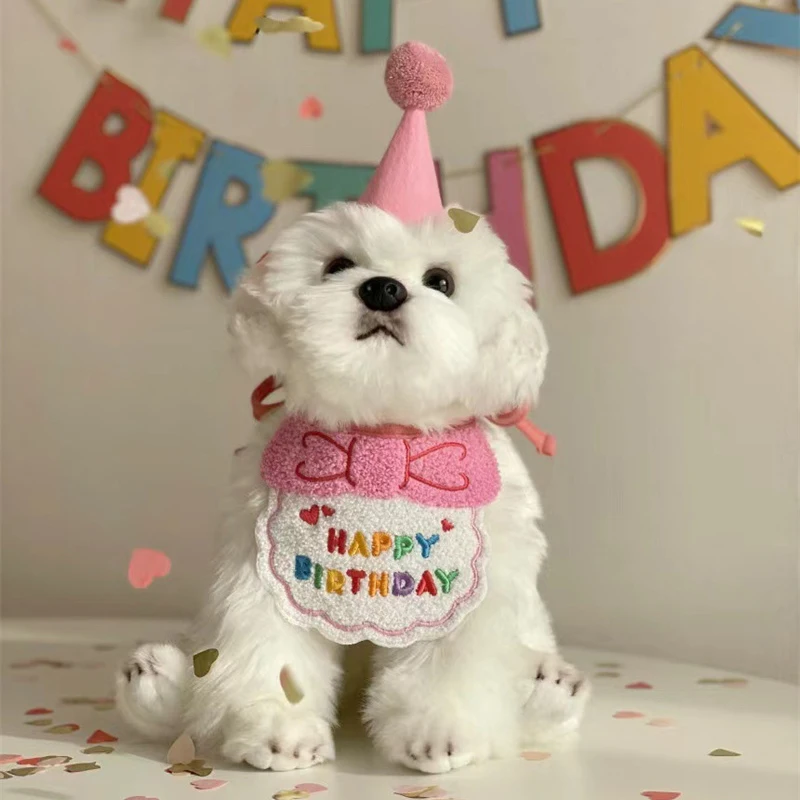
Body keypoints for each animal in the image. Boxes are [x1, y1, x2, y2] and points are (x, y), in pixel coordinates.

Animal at [117, 202, 588, 776]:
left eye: (442, 281)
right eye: (337, 265)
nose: (383, 288)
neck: (378, 440)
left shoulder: (461, 593)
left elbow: (447, 665)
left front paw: (437, 731)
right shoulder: (267, 573)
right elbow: (272, 655)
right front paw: (279, 728)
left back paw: (550, 685)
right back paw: (158, 678)